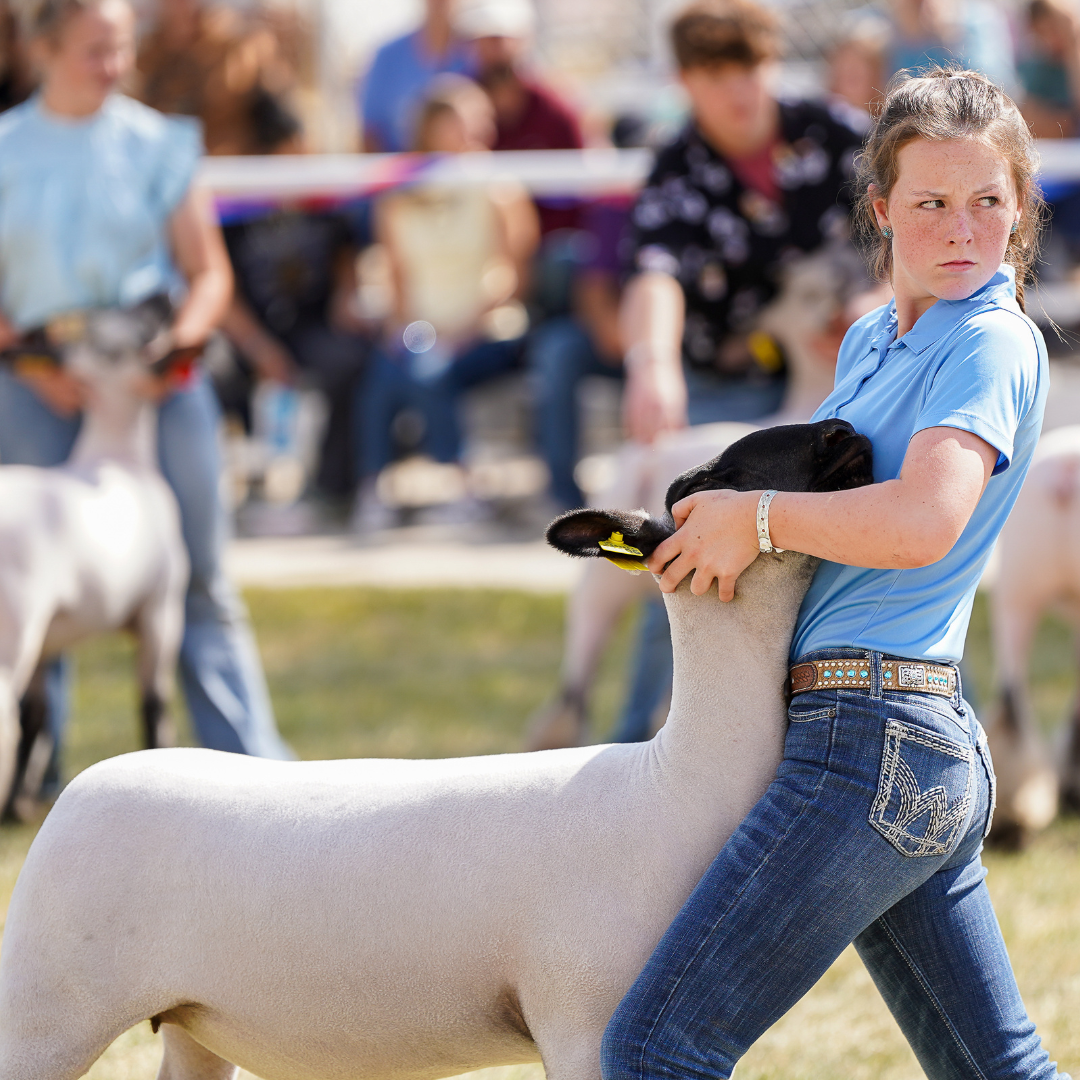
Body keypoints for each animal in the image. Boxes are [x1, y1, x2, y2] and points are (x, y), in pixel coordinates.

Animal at [0, 310, 188, 817]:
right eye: (121, 342)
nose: (160, 301)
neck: (118, 456)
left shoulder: (49, 640)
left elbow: (37, 717)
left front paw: (19, 804)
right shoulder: (162, 610)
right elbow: (155, 703)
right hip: (14, 629)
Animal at [0, 419, 873, 1080]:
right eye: (713, 479)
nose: (844, 433)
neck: (678, 778)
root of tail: (79, 790)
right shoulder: (581, 1017)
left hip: (188, 1022)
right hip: (46, 1008)